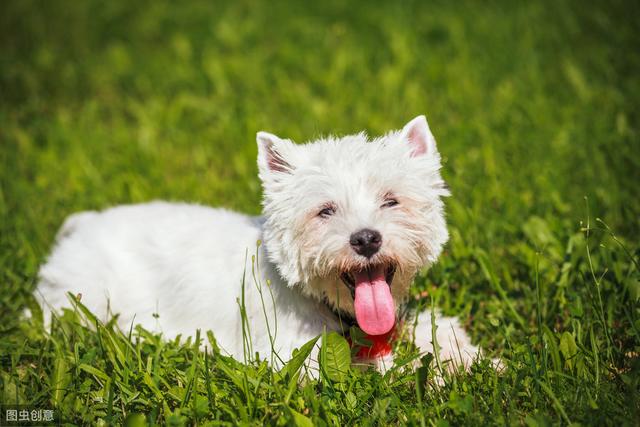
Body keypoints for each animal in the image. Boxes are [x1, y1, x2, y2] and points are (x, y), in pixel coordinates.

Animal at [37, 117, 482, 374]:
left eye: (391, 200)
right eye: (325, 210)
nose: (366, 238)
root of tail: (84, 224)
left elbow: (431, 328)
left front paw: (474, 359)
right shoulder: (294, 354)